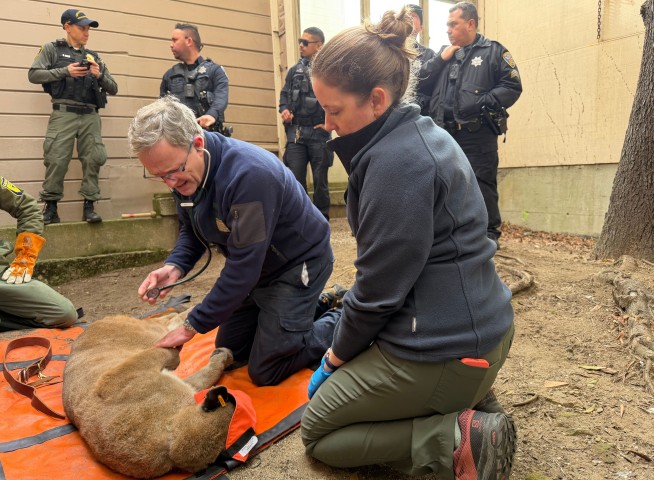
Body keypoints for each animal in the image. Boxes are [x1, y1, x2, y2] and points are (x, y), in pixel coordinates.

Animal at [62, 312, 236, 479]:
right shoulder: (116, 377)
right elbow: (172, 354)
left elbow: (206, 374)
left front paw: (222, 357)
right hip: (147, 330)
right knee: (166, 323)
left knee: (168, 321)